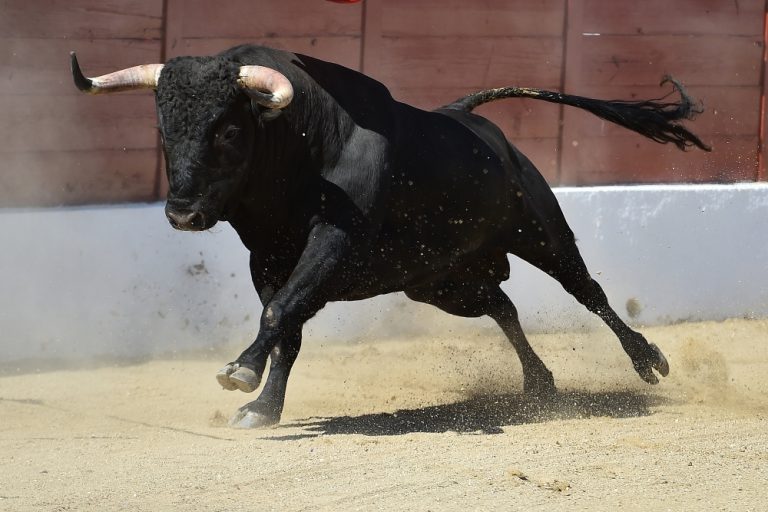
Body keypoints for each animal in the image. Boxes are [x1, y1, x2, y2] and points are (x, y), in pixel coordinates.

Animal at [71, 44, 709, 428]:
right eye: (163, 130)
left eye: (228, 129)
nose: (180, 213)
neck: (303, 149)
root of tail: (470, 115)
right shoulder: (268, 261)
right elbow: (286, 329)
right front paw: (264, 408)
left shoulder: (331, 244)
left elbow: (280, 314)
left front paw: (241, 373)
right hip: (442, 282)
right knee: (502, 306)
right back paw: (540, 384)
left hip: (540, 232)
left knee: (588, 291)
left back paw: (646, 360)